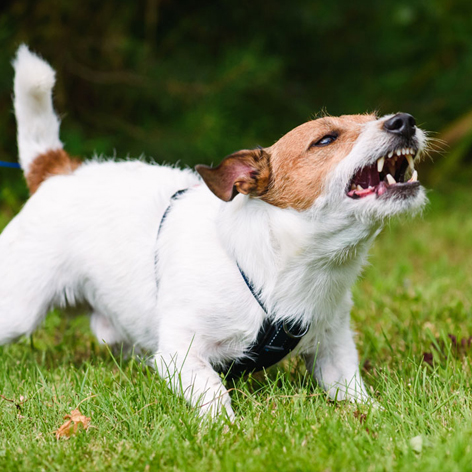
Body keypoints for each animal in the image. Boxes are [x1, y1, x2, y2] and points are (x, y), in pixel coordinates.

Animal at [0, 46, 428, 418]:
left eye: (374, 116)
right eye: (325, 139)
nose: (405, 121)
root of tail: (57, 171)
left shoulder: (333, 350)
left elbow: (352, 391)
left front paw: (377, 419)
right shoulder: (180, 353)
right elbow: (214, 392)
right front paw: (227, 430)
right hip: (18, 310)